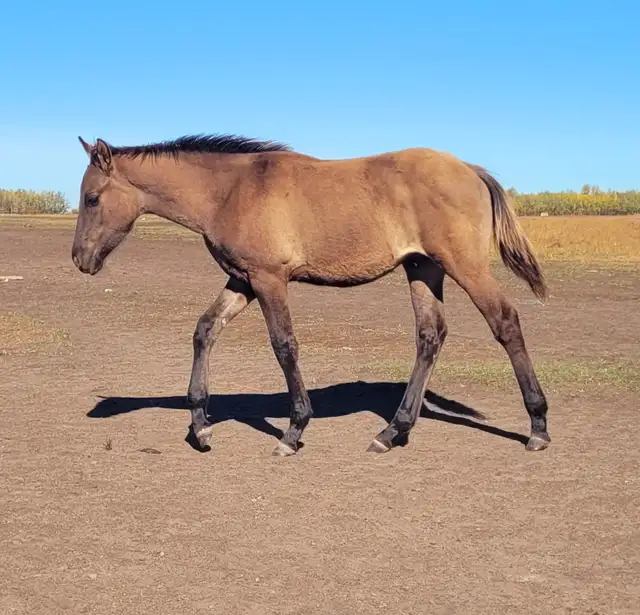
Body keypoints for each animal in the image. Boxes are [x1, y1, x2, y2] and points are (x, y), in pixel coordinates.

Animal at [71, 134, 550, 456]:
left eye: (92, 198)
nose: (80, 259)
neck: (231, 190)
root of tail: (469, 168)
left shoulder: (269, 280)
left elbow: (284, 345)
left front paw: (293, 430)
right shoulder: (243, 281)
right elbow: (205, 330)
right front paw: (201, 427)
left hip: (463, 265)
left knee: (505, 322)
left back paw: (538, 426)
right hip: (422, 268)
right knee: (430, 335)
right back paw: (391, 432)